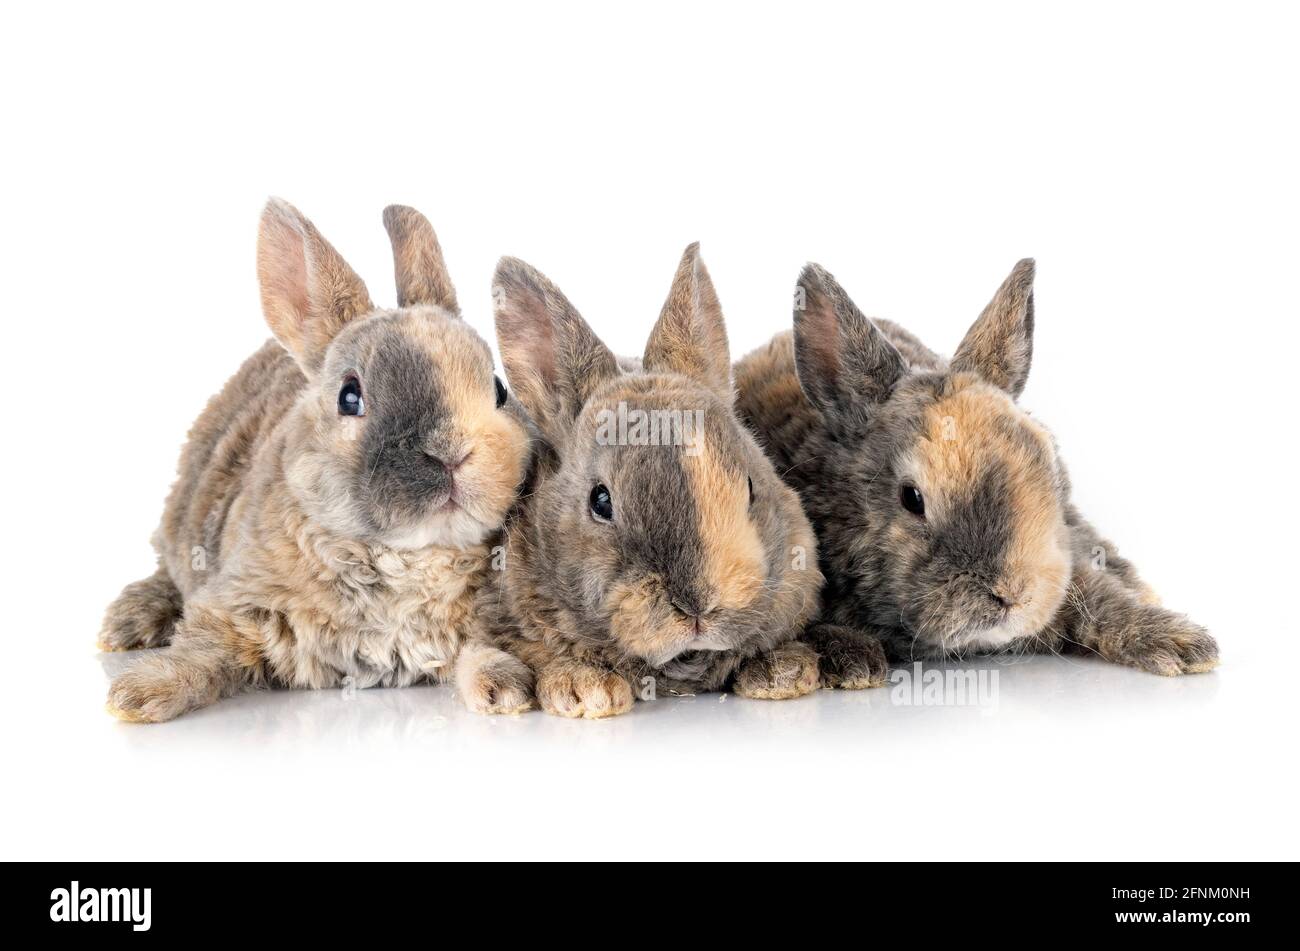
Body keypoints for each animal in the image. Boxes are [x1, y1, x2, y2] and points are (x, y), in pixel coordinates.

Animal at [99, 199, 536, 721]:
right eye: (350, 397)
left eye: (498, 388)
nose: (452, 452)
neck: (411, 556)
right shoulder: (237, 604)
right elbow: (200, 649)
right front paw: (137, 695)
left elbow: (483, 648)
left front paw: (504, 689)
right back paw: (126, 625)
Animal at [734, 259, 1219, 676]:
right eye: (912, 498)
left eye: (1051, 471)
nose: (1013, 596)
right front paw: (851, 659)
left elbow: (1098, 596)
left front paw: (1183, 644)